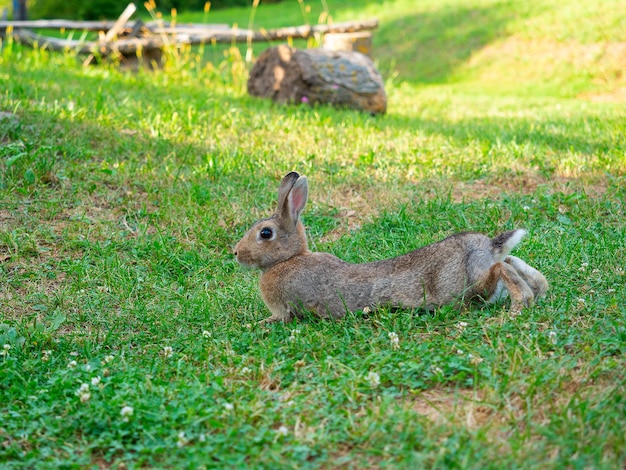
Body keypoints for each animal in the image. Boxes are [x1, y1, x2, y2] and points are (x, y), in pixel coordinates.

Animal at [234, 172, 544, 324]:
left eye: (265, 233)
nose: (236, 253)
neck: (288, 260)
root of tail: (488, 246)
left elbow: (280, 318)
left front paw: (257, 324)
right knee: (512, 262)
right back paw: (540, 290)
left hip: (466, 287)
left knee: (500, 270)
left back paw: (521, 304)